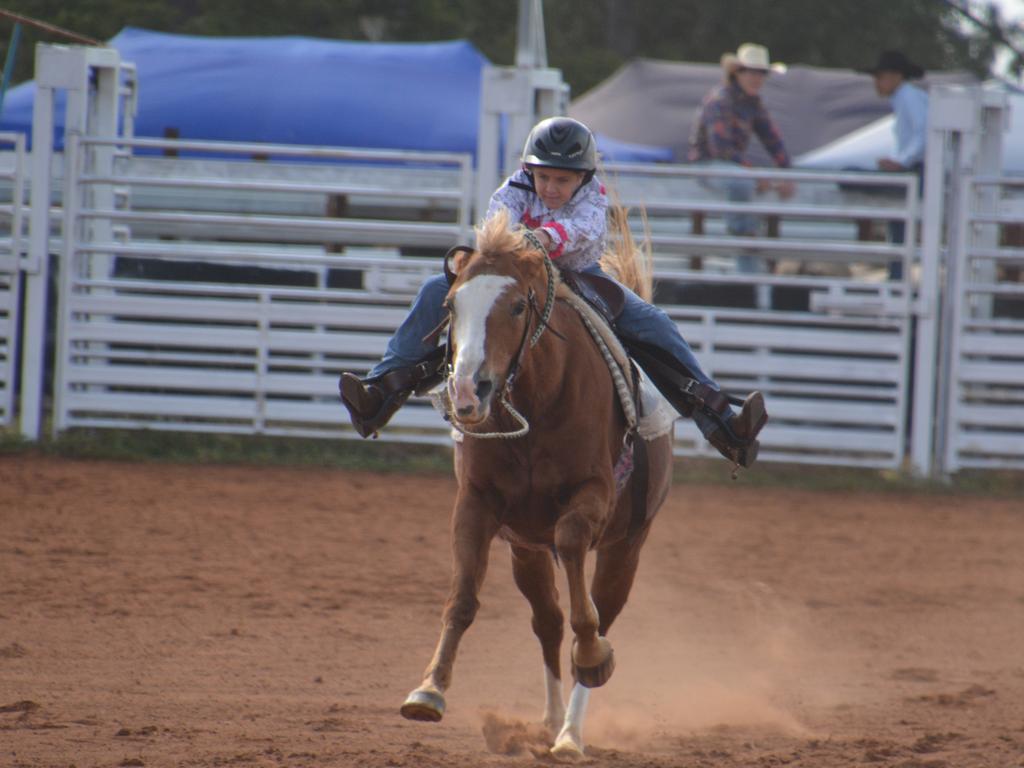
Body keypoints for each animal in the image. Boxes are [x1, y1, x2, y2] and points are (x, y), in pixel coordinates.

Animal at [401, 210, 679, 757]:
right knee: (548, 622)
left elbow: (582, 599)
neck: (540, 397)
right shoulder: (477, 505)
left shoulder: (592, 496)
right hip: (526, 552)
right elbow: (463, 597)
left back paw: (571, 733)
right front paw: (428, 689)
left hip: (626, 547)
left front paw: (592, 656)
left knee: (598, 612)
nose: (468, 391)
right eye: (450, 305)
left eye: (515, 306)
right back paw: (551, 722)